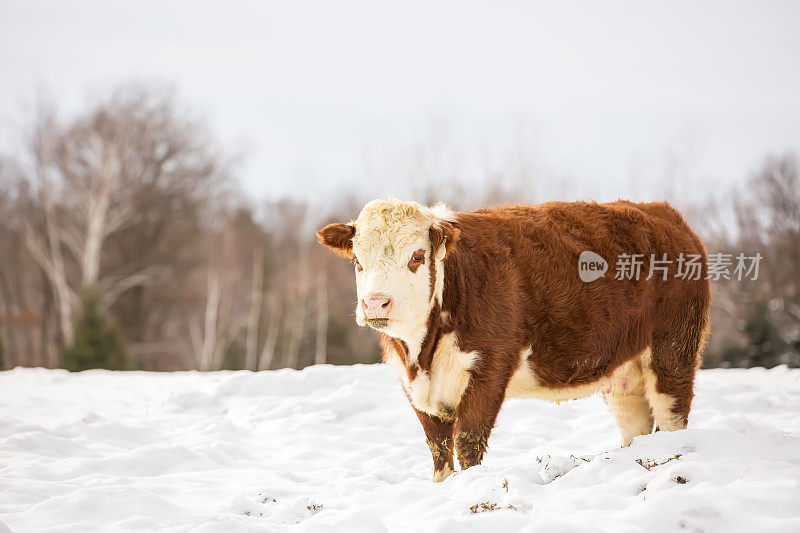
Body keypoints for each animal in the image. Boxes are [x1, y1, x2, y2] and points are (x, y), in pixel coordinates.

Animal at [316, 198, 708, 482]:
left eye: (417, 256)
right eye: (358, 260)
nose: (375, 303)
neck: (422, 355)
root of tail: (662, 212)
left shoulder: (490, 367)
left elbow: (467, 441)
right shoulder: (411, 384)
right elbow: (438, 447)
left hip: (673, 350)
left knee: (672, 413)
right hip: (624, 373)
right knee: (636, 426)